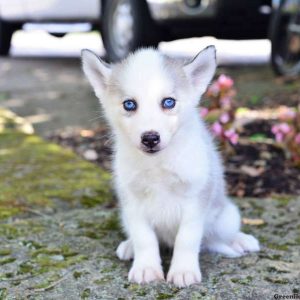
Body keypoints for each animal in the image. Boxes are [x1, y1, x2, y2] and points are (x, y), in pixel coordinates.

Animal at [81, 45, 258, 288]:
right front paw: (146, 268)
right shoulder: (133, 201)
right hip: (124, 216)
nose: (150, 138)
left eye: (168, 102)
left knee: (220, 234)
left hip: (227, 217)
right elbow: (144, 238)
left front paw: (183, 271)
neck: (157, 164)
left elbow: (187, 238)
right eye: (129, 104)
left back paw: (241, 240)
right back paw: (129, 246)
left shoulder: (195, 198)